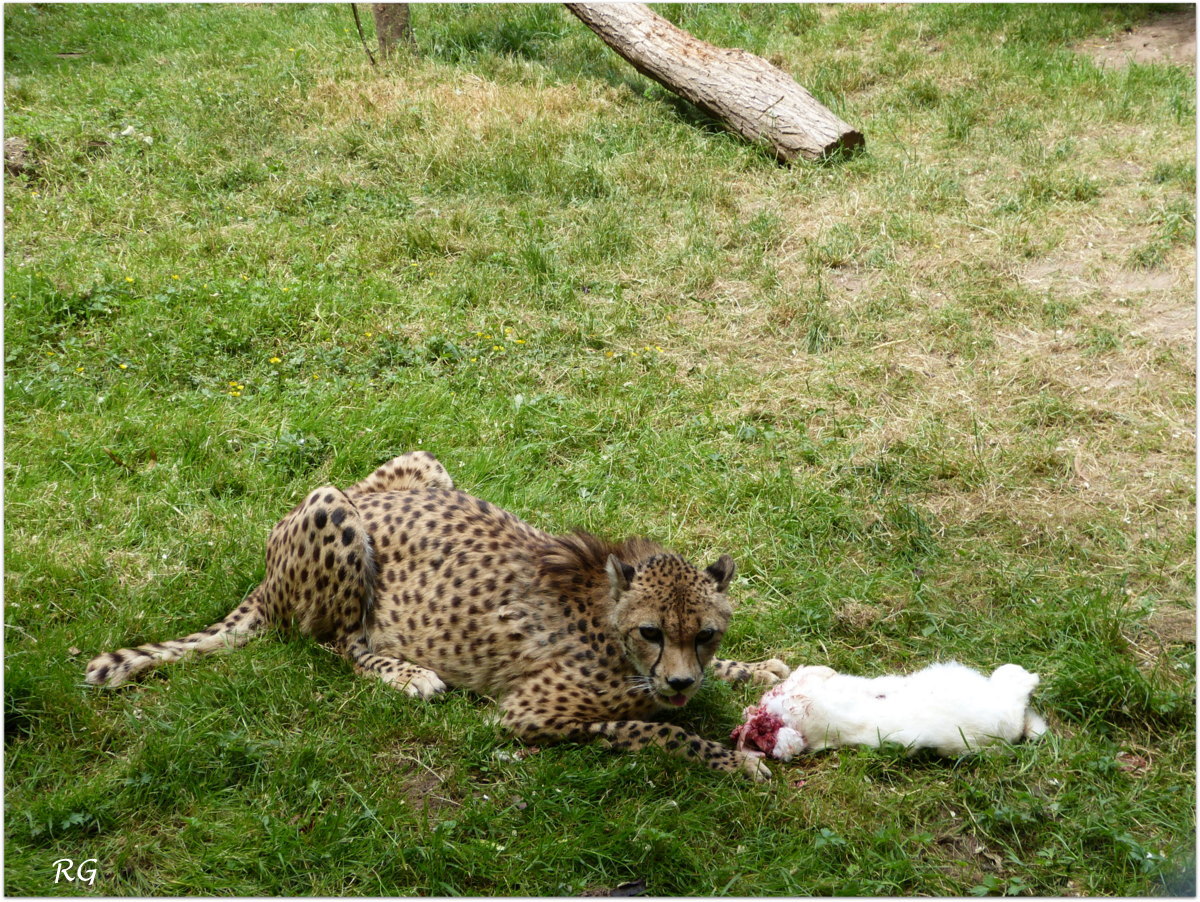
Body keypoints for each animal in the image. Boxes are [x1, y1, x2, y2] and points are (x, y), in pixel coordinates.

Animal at [88, 453, 792, 777]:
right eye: (651, 632)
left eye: (705, 634)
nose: (680, 681)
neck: (608, 617)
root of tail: (265, 571)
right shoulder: (526, 715)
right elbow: (649, 729)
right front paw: (733, 759)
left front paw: (757, 670)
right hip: (331, 509)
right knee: (337, 642)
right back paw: (409, 674)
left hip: (423, 466)